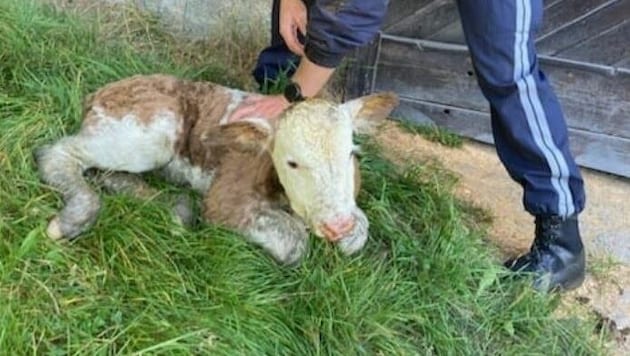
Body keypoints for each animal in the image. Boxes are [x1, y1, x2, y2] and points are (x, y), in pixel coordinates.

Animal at [35, 74, 400, 264]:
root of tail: (100, 91)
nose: (337, 225)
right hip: (150, 133)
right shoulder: (224, 200)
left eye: (351, 153)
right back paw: (73, 218)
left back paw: (178, 208)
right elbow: (294, 241)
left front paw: (348, 233)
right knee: (57, 153)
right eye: (292, 162)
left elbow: (360, 230)